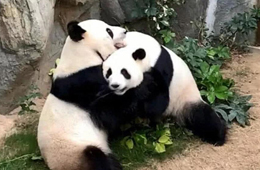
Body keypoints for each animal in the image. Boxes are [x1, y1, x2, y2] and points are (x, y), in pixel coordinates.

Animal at [37, 19, 128, 169]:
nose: (125, 31)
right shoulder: (85, 82)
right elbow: (108, 112)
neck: (82, 55)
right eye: (109, 31)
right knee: (96, 157)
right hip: (73, 152)